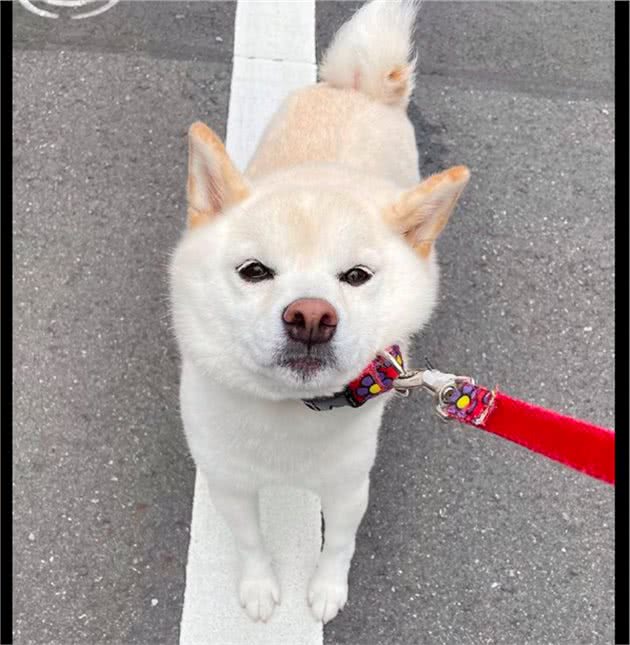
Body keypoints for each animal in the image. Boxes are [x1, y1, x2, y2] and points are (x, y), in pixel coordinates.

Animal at [170, 0, 472, 624]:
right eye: (254, 271)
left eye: (355, 277)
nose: (311, 316)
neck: (289, 418)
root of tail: (356, 88)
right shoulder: (229, 481)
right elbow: (251, 543)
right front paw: (259, 589)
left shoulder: (348, 486)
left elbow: (340, 544)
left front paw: (327, 591)